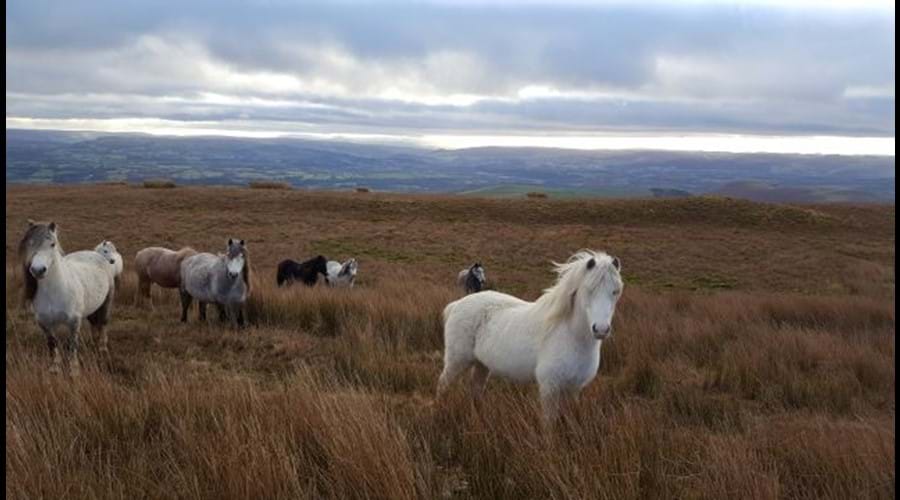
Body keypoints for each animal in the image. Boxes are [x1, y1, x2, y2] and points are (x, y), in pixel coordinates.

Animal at [18, 221, 115, 375]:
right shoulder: (45, 323)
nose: (38, 270)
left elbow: (72, 344)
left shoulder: (74, 321)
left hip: (107, 301)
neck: (55, 291)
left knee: (104, 323)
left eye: (52, 244)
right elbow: (52, 344)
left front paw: (73, 370)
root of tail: (95, 254)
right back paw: (94, 343)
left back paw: (102, 347)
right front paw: (54, 368)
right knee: (94, 323)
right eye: (29, 243)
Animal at [438, 250, 624, 422]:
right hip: (456, 361)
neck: (571, 337)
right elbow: (549, 423)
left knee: (475, 390)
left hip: (481, 365)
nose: (601, 329)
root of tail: (457, 305)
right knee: (443, 384)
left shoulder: (574, 389)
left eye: (615, 292)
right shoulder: (549, 388)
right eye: (589, 290)